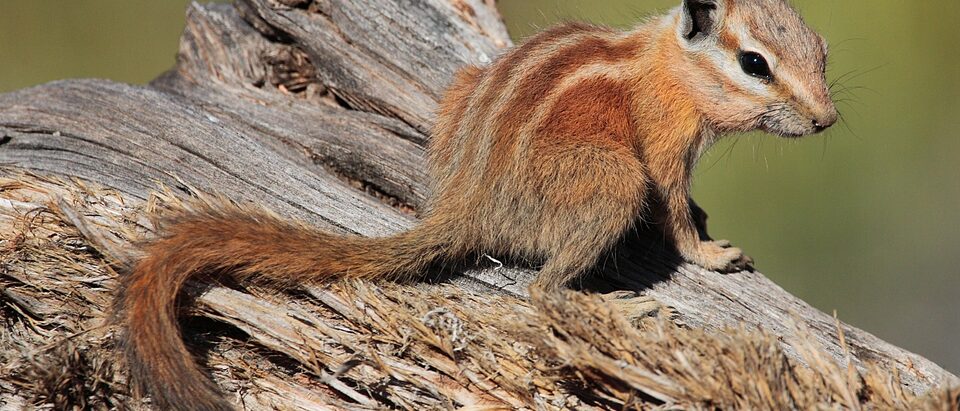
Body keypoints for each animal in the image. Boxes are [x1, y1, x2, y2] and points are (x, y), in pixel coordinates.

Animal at [115, 0, 837, 409]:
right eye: (754, 63)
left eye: (823, 51)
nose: (828, 120)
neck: (668, 65)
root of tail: (468, 202)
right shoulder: (662, 149)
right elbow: (677, 217)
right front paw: (713, 253)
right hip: (612, 183)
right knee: (544, 291)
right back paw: (618, 308)